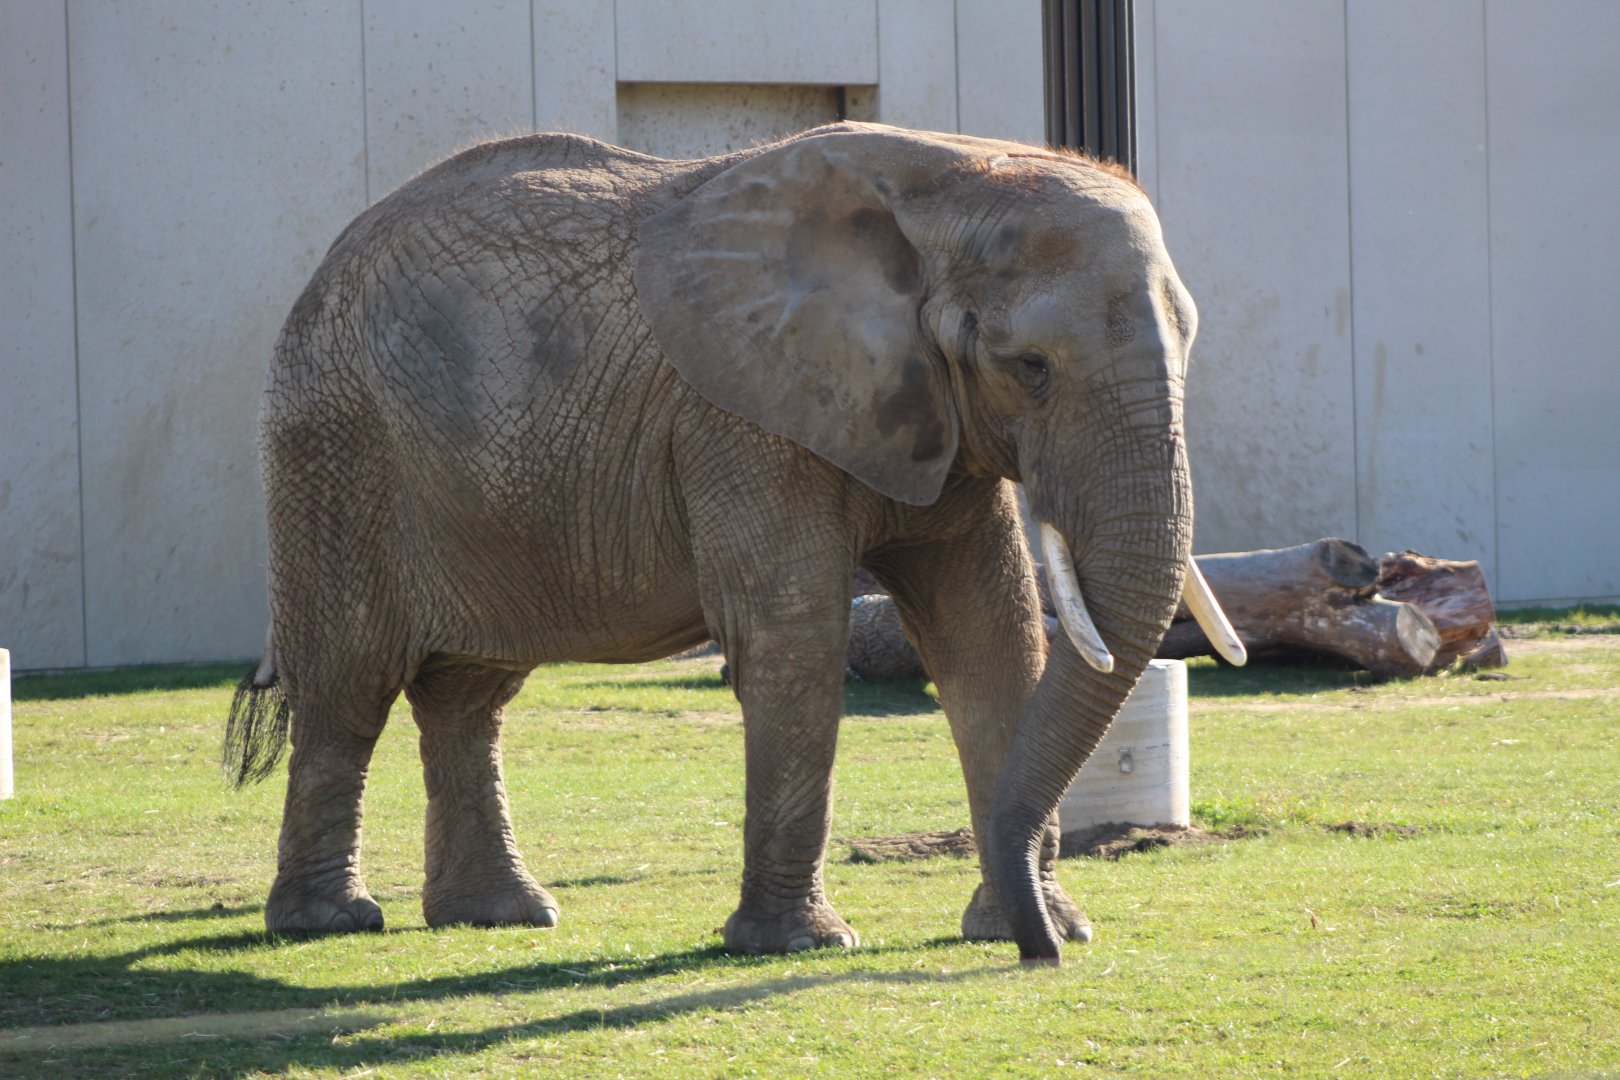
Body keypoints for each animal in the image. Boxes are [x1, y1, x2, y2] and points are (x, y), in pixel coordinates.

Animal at [224, 121, 1243, 964]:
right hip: (335, 448)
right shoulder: (742, 416)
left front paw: (1040, 925)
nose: (1044, 958)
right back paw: (331, 924)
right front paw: (800, 947)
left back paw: (501, 917)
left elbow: (987, 636)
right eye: (1029, 366)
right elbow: (795, 638)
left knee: (471, 693)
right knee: (350, 682)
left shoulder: (930, 417)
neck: (946, 182)